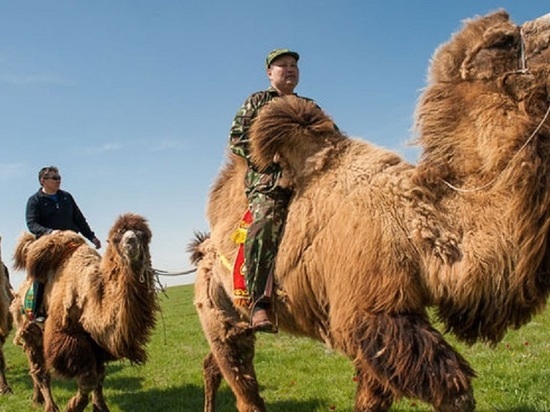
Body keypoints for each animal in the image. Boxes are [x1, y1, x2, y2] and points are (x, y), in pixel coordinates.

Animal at [10, 214, 160, 412]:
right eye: (117, 237)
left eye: (144, 235)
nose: (131, 242)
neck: (89, 297)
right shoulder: (66, 335)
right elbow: (88, 378)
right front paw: (73, 406)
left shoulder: (97, 342)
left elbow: (99, 376)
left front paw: (100, 406)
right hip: (30, 332)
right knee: (40, 371)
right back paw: (50, 406)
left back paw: (37, 399)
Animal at [192, 9, 550, 412]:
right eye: (503, 40)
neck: (413, 224)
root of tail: (202, 253)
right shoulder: (371, 312)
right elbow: (456, 392)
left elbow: (373, 396)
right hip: (217, 316)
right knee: (240, 379)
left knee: (216, 366)